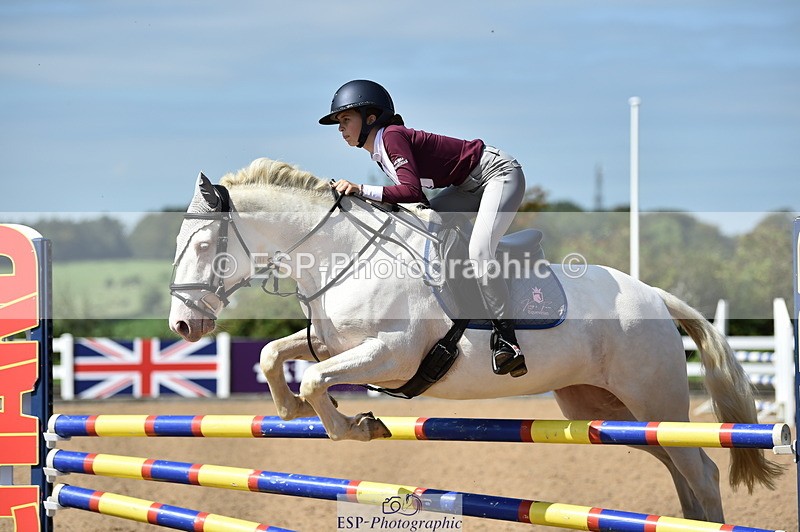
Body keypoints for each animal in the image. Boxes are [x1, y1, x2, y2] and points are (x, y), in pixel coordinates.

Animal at [168, 157, 782, 522]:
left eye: (200, 246)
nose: (182, 328)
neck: (341, 253)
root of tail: (653, 296)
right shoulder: (334, 343)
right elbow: (277, 354)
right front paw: (291, 410)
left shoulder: (391, 356)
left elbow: (319, 378)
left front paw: (357, 425)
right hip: (607, 413)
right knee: (678, 469)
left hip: (654, 399)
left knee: (700, 470)